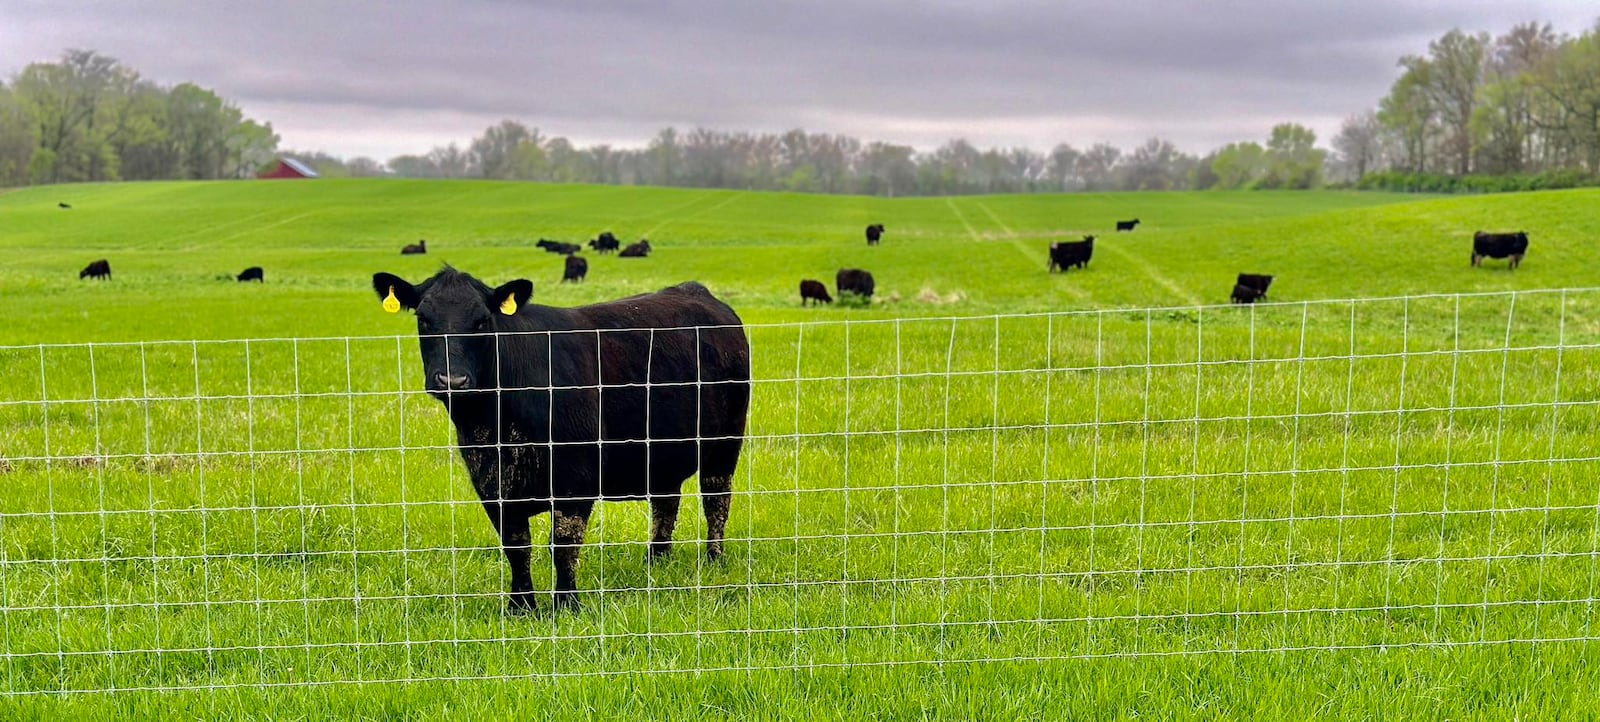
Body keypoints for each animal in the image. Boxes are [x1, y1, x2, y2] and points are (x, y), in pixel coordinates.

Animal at [371, 268, 752, 614]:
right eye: (423, 319)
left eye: (482, 321)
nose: (453, 380)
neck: (498, 424)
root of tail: (699, 293)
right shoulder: (492, 484)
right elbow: (516, 546)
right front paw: (520, 607)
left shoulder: (575, 479)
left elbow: (564, 543)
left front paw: (567, 604)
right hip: (661, 455)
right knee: (666, 503)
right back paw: (656, 561)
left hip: (725, 443)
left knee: (716, 500)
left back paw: (714, 560)